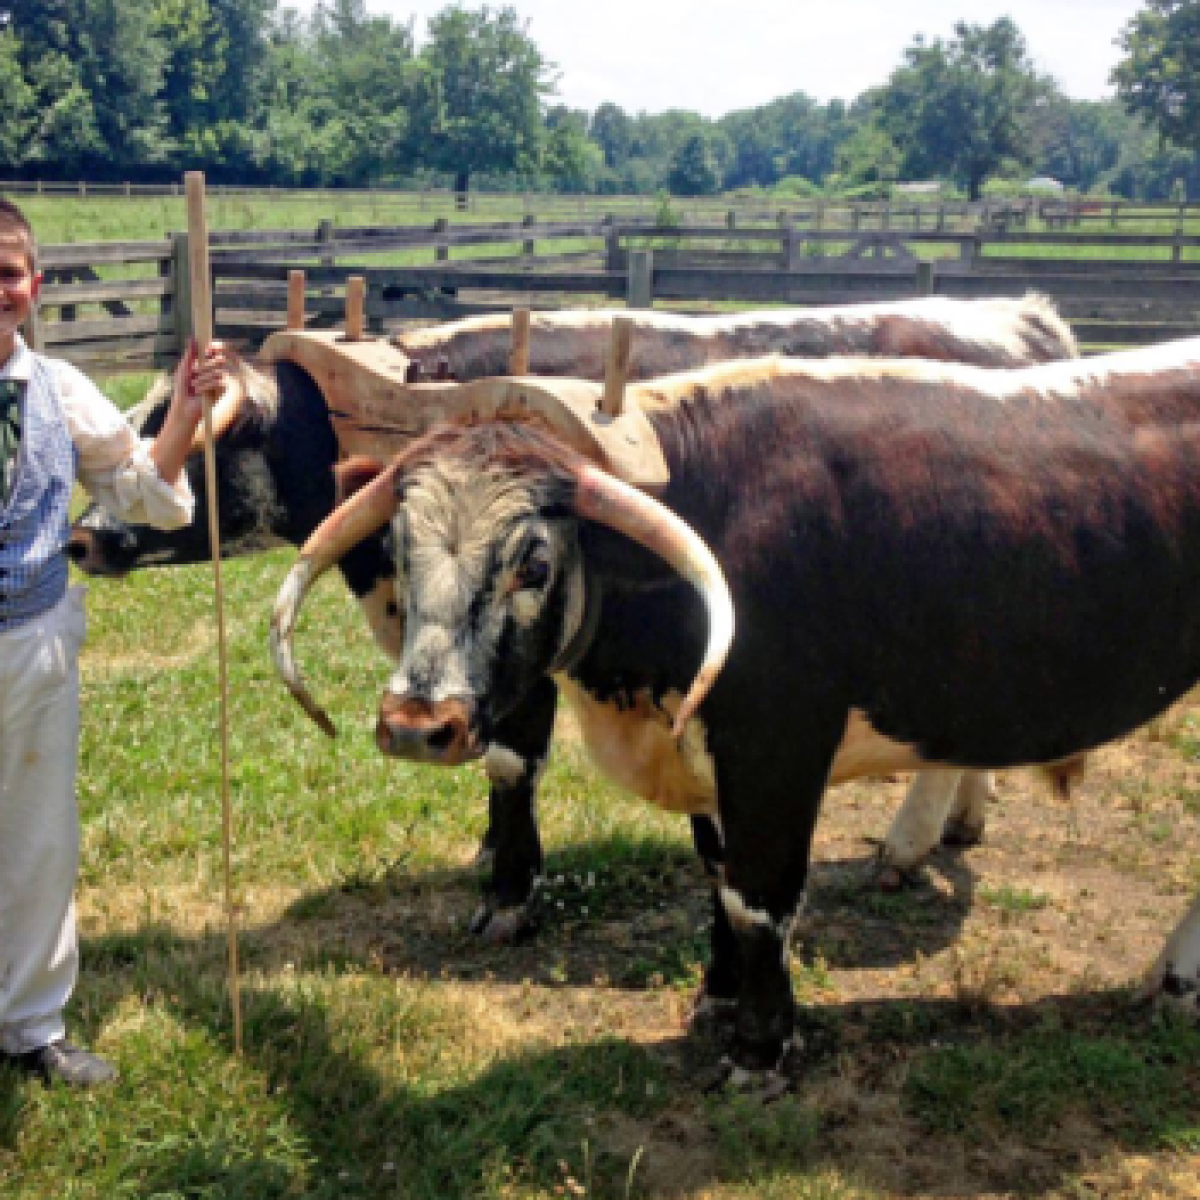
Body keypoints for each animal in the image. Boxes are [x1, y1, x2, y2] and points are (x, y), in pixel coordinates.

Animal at [68, 296, 1078, 938]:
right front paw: (489, 852)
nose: (82, 538)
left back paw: (907, 843)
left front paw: (511, 893)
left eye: (197, 437)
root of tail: (1025, 315)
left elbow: (512, 762)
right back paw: (960, 821)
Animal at [271, 340, 1200, 1088]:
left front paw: (760, 1049)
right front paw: (717, 1000)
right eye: (397, 551)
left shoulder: (776, 750)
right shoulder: (709, 758)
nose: (417, 726)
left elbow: (759, 899)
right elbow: (718, 879)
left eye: (532, 563)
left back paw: (1174, 982)